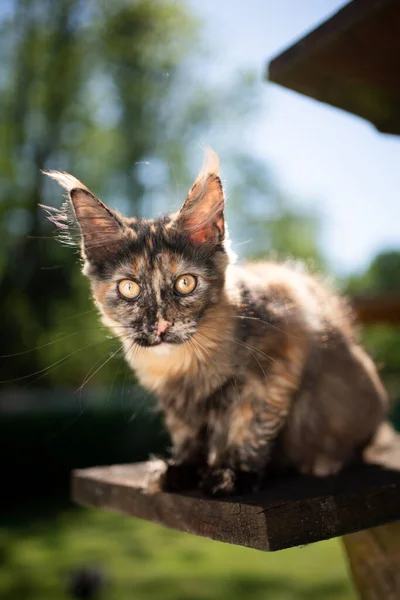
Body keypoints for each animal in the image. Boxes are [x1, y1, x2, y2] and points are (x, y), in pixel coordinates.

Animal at [43, 151, 394, 496]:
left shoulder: (278, 361)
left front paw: (231, 473)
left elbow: (251, 426)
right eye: (129, 288)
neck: (186, 362)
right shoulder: (178, 402)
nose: (161, 326)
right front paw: (181, 470)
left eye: (185, 283)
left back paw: (321, 462)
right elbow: (188, 435)